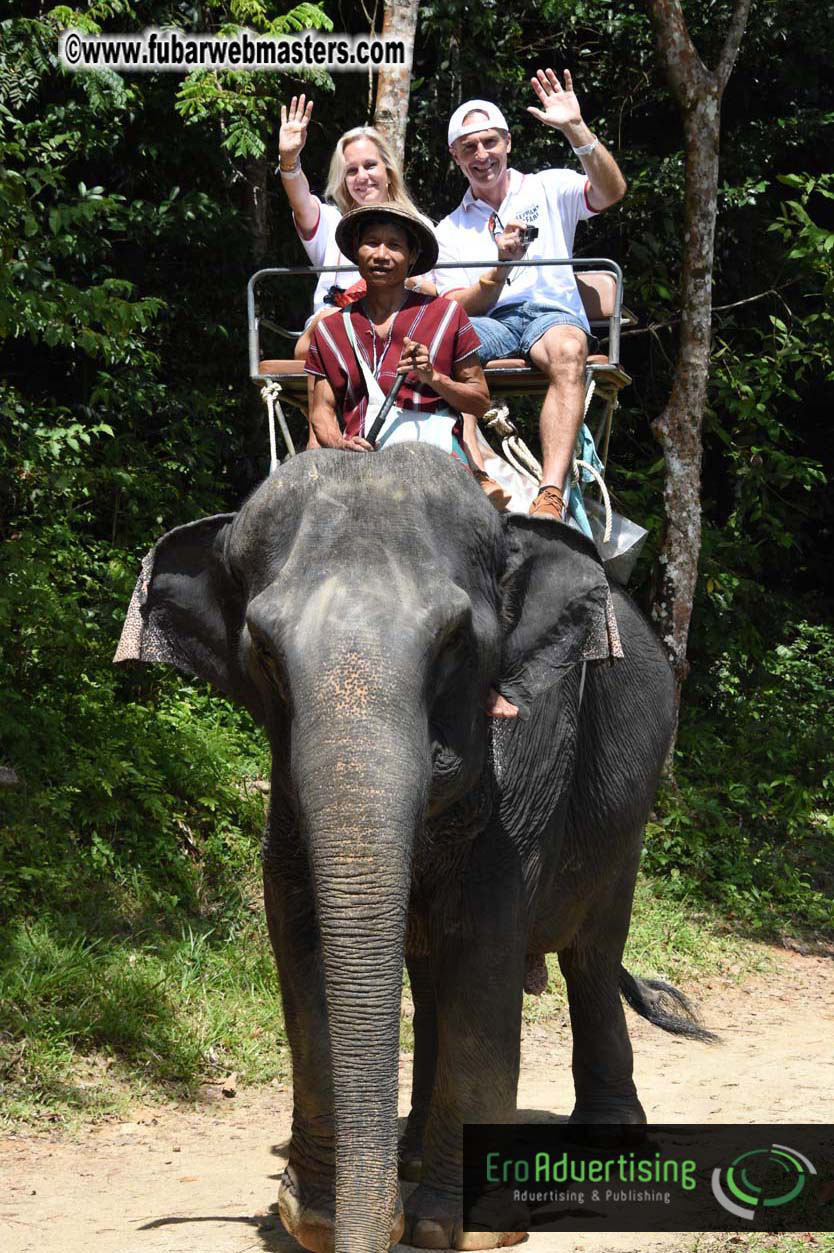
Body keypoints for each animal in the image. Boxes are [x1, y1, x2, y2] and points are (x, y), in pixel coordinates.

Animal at [115, 443, 711, 1253]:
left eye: (456, 641)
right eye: (263, 648)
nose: (374, 1231)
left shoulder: (532, 745)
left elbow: (488, 941)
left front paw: (462, 1227)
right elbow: (299, 938)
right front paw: (316, 1217)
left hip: (632, 801)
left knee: (591, 951)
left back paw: (605, 1141)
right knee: (433, 979)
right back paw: (411, 1153)